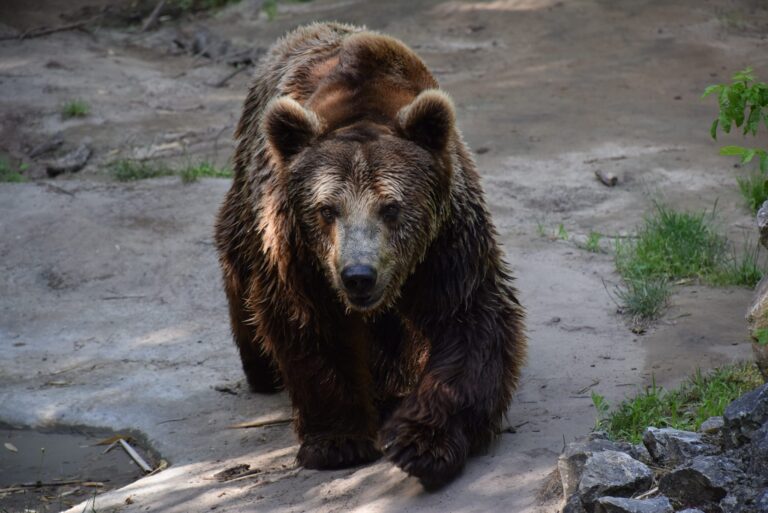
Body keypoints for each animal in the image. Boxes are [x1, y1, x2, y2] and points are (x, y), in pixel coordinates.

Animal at [216, 23, 528, 488]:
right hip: (249, 209)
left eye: (391, 207)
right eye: (327, 209)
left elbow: (468, 321)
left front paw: (422, 443)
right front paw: (338, 441)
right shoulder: (299, 250)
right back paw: (263, 370)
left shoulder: (447, 241)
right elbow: (310, 322)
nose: (358, 275)